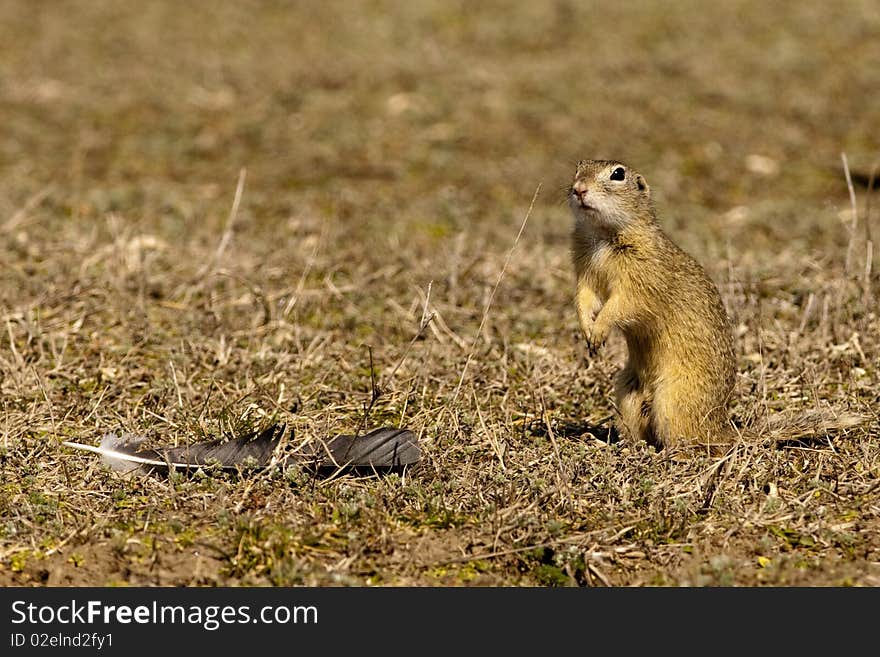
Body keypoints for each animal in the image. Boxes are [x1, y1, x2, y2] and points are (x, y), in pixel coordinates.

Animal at [564, 159, 736, 448]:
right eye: (577, 168)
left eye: (618, 174)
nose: (578, 189)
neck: (602, 235)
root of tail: (721, 429)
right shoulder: (585, 273)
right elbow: (584, 299)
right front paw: (587, 331)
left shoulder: (639, 280)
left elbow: (621, 305)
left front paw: (598, 331)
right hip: (627, 392)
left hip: (673, 401)